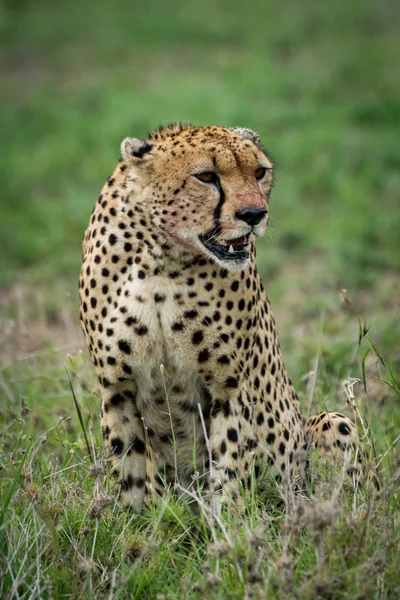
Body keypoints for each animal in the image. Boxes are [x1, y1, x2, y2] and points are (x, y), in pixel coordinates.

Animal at [79, 124, 368, 512]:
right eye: (206, 177)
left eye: (259, 172)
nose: (254, 214)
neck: (163, 258)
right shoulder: (117, 388)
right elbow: (130, 471)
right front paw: (132, 524)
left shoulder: (229, 388)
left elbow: (228, 467)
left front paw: (227, 524)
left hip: (329, 425)